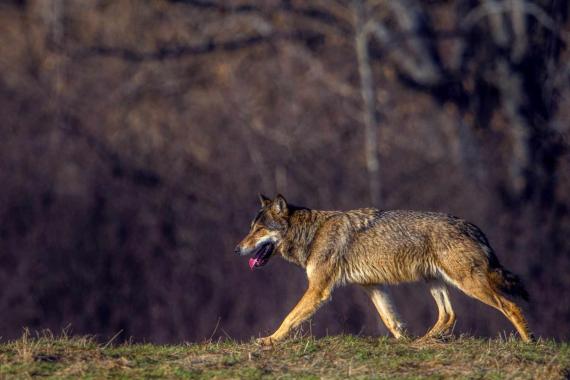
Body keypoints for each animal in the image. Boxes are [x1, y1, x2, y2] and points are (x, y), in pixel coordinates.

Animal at [233, 194, 532, 346]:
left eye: (259, 230)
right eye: (250, 228)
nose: (236, 249)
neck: (313, 234)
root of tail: (471, 225)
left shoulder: (318, 290)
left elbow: (288, 318)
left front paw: (269, 340)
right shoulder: (373, 286)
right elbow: (391, 320)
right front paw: (403, 340)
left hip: (468, 283)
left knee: (511, 307)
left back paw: (529, 342)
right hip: (435, 282)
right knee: (448, 314)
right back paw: (421, 342)